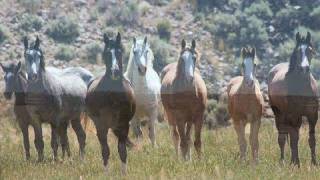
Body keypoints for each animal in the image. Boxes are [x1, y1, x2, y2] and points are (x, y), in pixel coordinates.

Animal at [85, 32, 136, 176]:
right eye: (107, 53)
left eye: (119, 51)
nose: (115, 71)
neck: (113, 95)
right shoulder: (101, 126)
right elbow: (105, 151)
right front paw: (106, 174)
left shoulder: (124, 125)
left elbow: (122, 151)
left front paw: (124, 174)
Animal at [268, 32, 318, 166]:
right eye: (297, 51)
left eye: (310, 50)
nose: (304, 68)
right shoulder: (294, 116)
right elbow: (294, 139)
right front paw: (296, 163)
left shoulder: (312, 116)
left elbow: (312, 139)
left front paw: (314, 163)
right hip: (280, 114)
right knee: (282, 138)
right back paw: (283, 161)